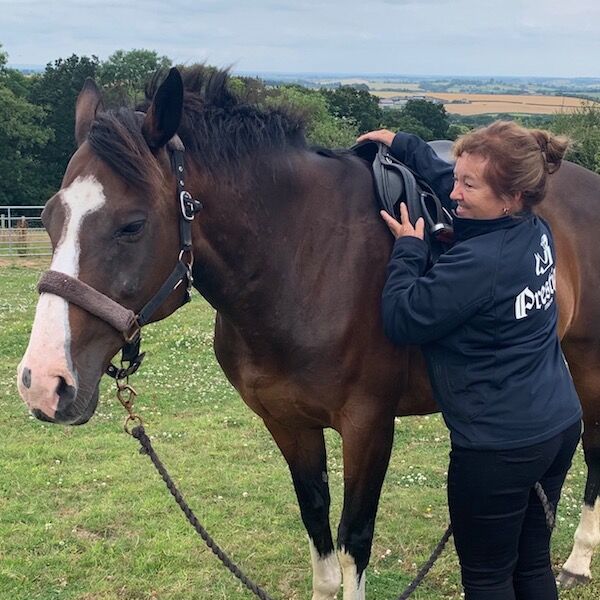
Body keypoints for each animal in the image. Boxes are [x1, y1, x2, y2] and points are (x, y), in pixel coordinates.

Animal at [16, 67, 600, 596]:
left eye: (132, 225)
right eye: (47, 218)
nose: (42, 382)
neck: (303, 258)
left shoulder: (368, 426)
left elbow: (353, 540)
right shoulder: (287, 422)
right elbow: (317, 529)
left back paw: (577, 562)